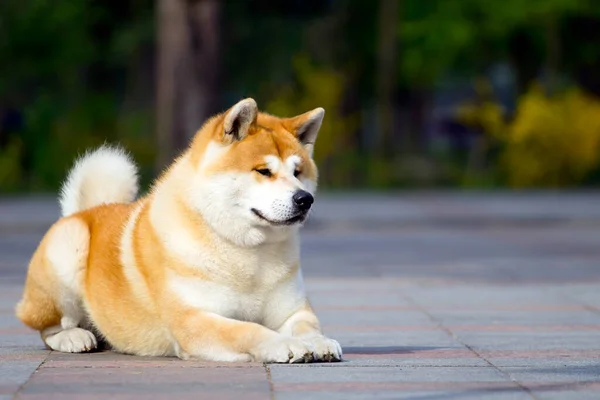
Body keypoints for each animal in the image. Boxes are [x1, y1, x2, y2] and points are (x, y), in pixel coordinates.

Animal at [14, 98, 342, 364]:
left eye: (298, 172)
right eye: (264, 171)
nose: (304, 199)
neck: (248, 254)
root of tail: (84, 212)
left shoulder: (292, 310)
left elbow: (306, 326)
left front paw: (319, 342)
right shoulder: (195, 318)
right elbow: (250, 330)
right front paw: (286, 345)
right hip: (69, 249)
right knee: (48, 326)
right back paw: (74, 337)